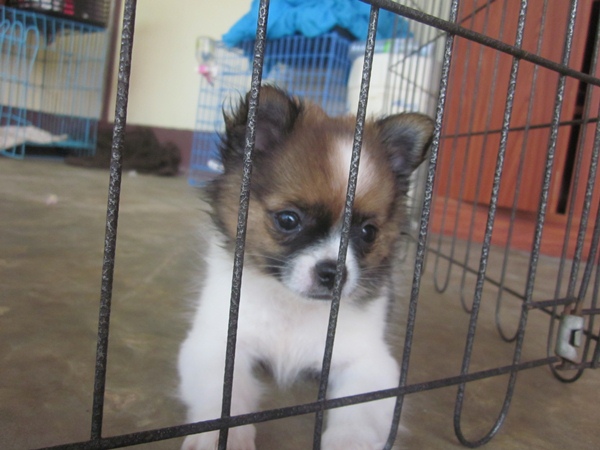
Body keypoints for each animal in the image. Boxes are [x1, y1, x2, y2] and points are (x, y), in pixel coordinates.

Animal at [178, 85, 434, 449]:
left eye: (368, 232)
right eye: (288, 220)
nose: (334, 272)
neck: (294, 306)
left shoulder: (370, 363)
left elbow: (358, 415)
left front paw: (348, 442)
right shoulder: (217, 343)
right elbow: (223, 398)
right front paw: (220, 437)